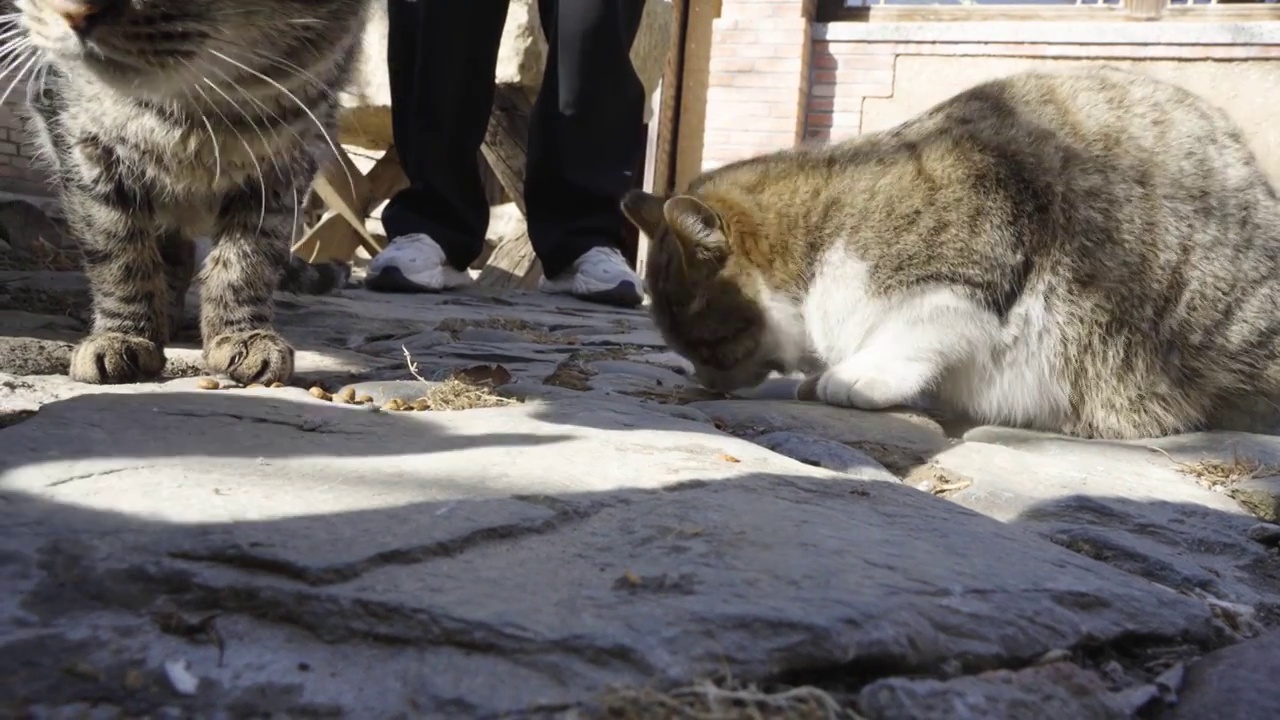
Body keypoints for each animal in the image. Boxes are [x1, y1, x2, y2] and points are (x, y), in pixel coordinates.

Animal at [13, 0, 371, 384]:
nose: (73, 12)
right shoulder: (84, 145)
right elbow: (118, 252)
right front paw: (123, 334)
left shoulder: (289, 162)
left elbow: (247, 260)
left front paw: (242, 334)